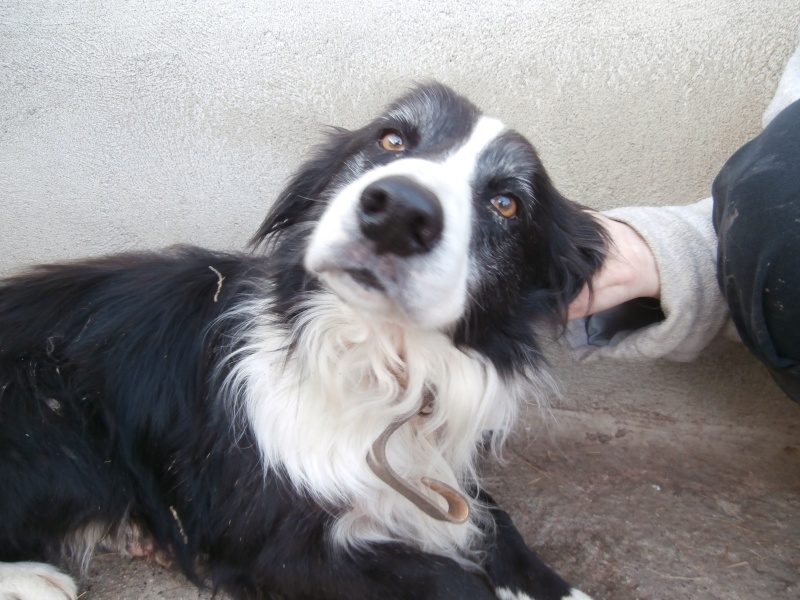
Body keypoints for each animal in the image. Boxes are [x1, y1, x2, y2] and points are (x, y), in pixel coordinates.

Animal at [0, 84, 608, 600]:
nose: (399, 211)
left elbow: (497, 522)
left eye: (507, 203)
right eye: (391, 139)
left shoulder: (440, 480)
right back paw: (37, 578)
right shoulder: (275, 542)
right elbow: (453, 582)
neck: (379, 362)